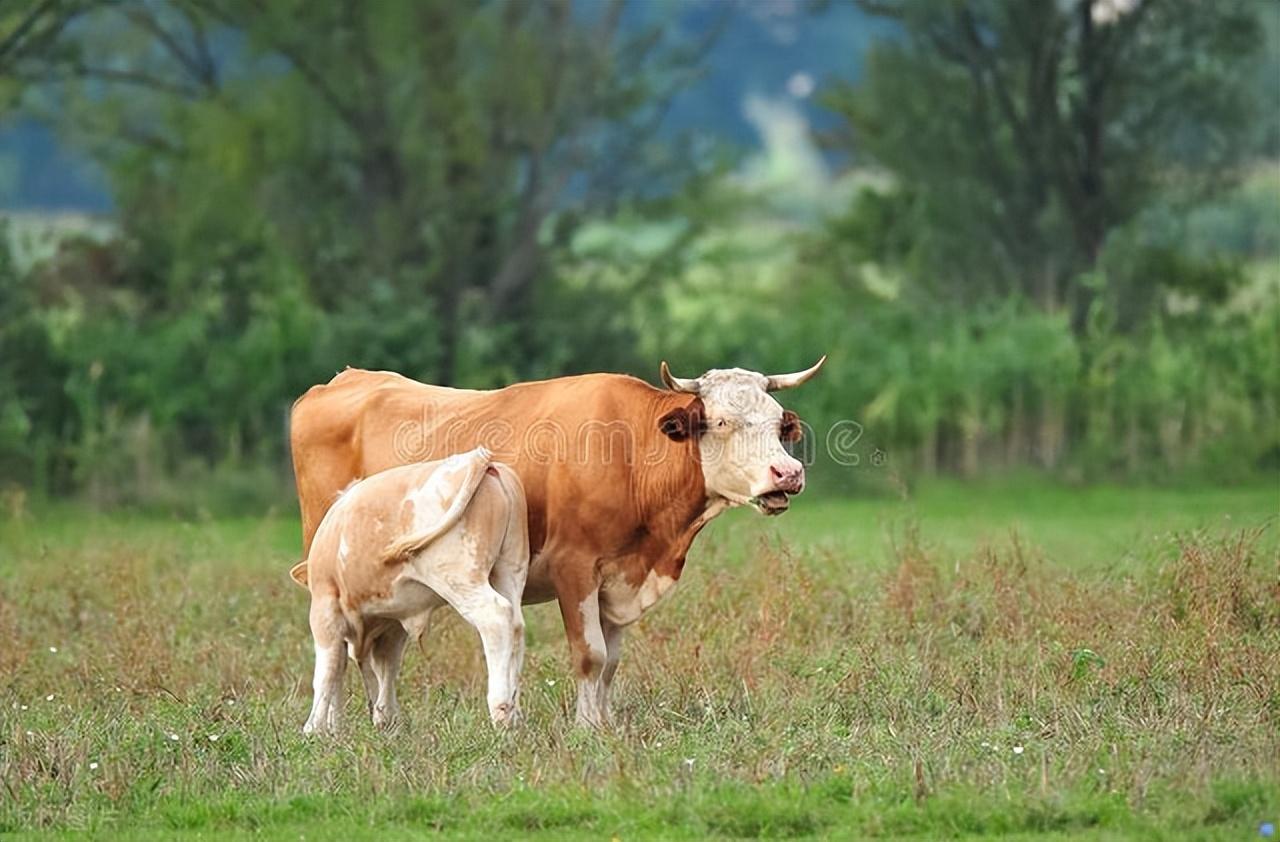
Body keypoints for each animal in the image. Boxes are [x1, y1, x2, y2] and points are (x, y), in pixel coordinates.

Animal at [291, 358, 824, 726]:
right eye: (721, 422)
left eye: (779, 423)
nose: (787, 473)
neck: (630, 451)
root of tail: (343, 380)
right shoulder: (577, 569)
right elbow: (590, 655)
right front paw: (587, 727)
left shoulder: (619, 580)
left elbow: (610, 662)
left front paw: (604, 723)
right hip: (335, 575)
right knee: (338, 647)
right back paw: (331, 725)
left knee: (384, 649)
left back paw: (385, 722)